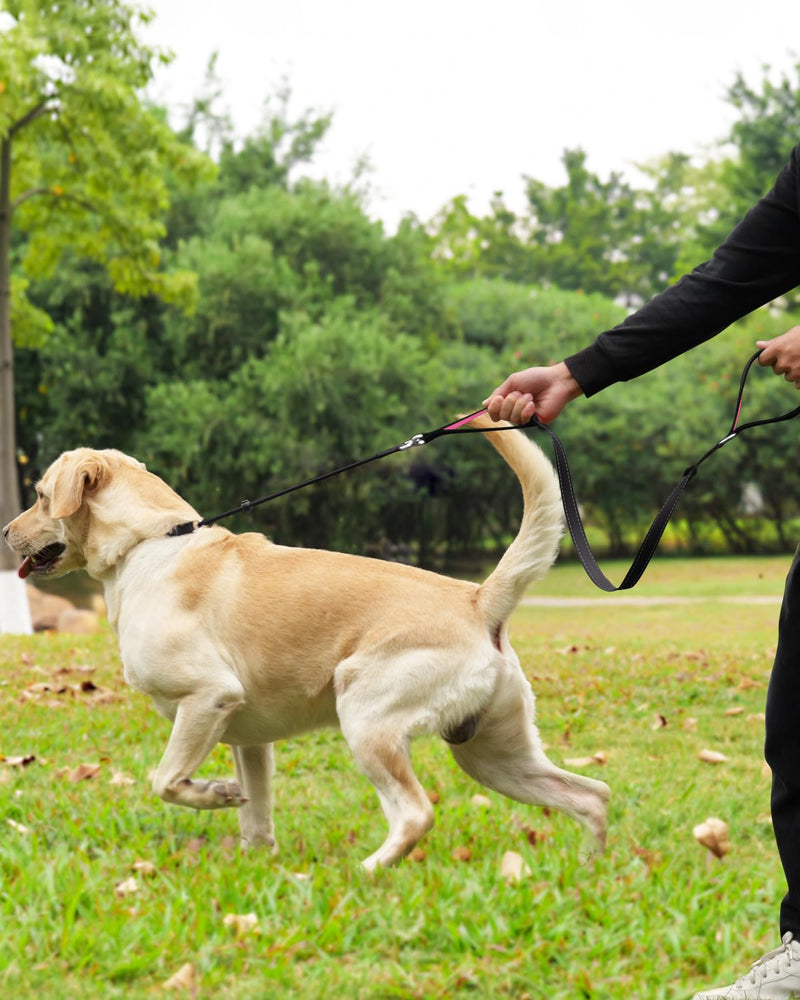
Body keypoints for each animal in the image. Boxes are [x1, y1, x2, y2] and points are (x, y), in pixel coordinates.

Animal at [3, 418, 608, 872]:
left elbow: (166, 781)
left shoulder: (208, 697)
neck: (149, 543)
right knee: (593, 795)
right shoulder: (248, 740)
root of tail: (478, 600)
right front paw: (255, 861)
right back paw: (590, 869)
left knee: (416, 814)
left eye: (40, 495)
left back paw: (366, 870)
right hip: (494, 757)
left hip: (367, 718)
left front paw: (214, 794)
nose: (5, 533)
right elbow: (257, 818)